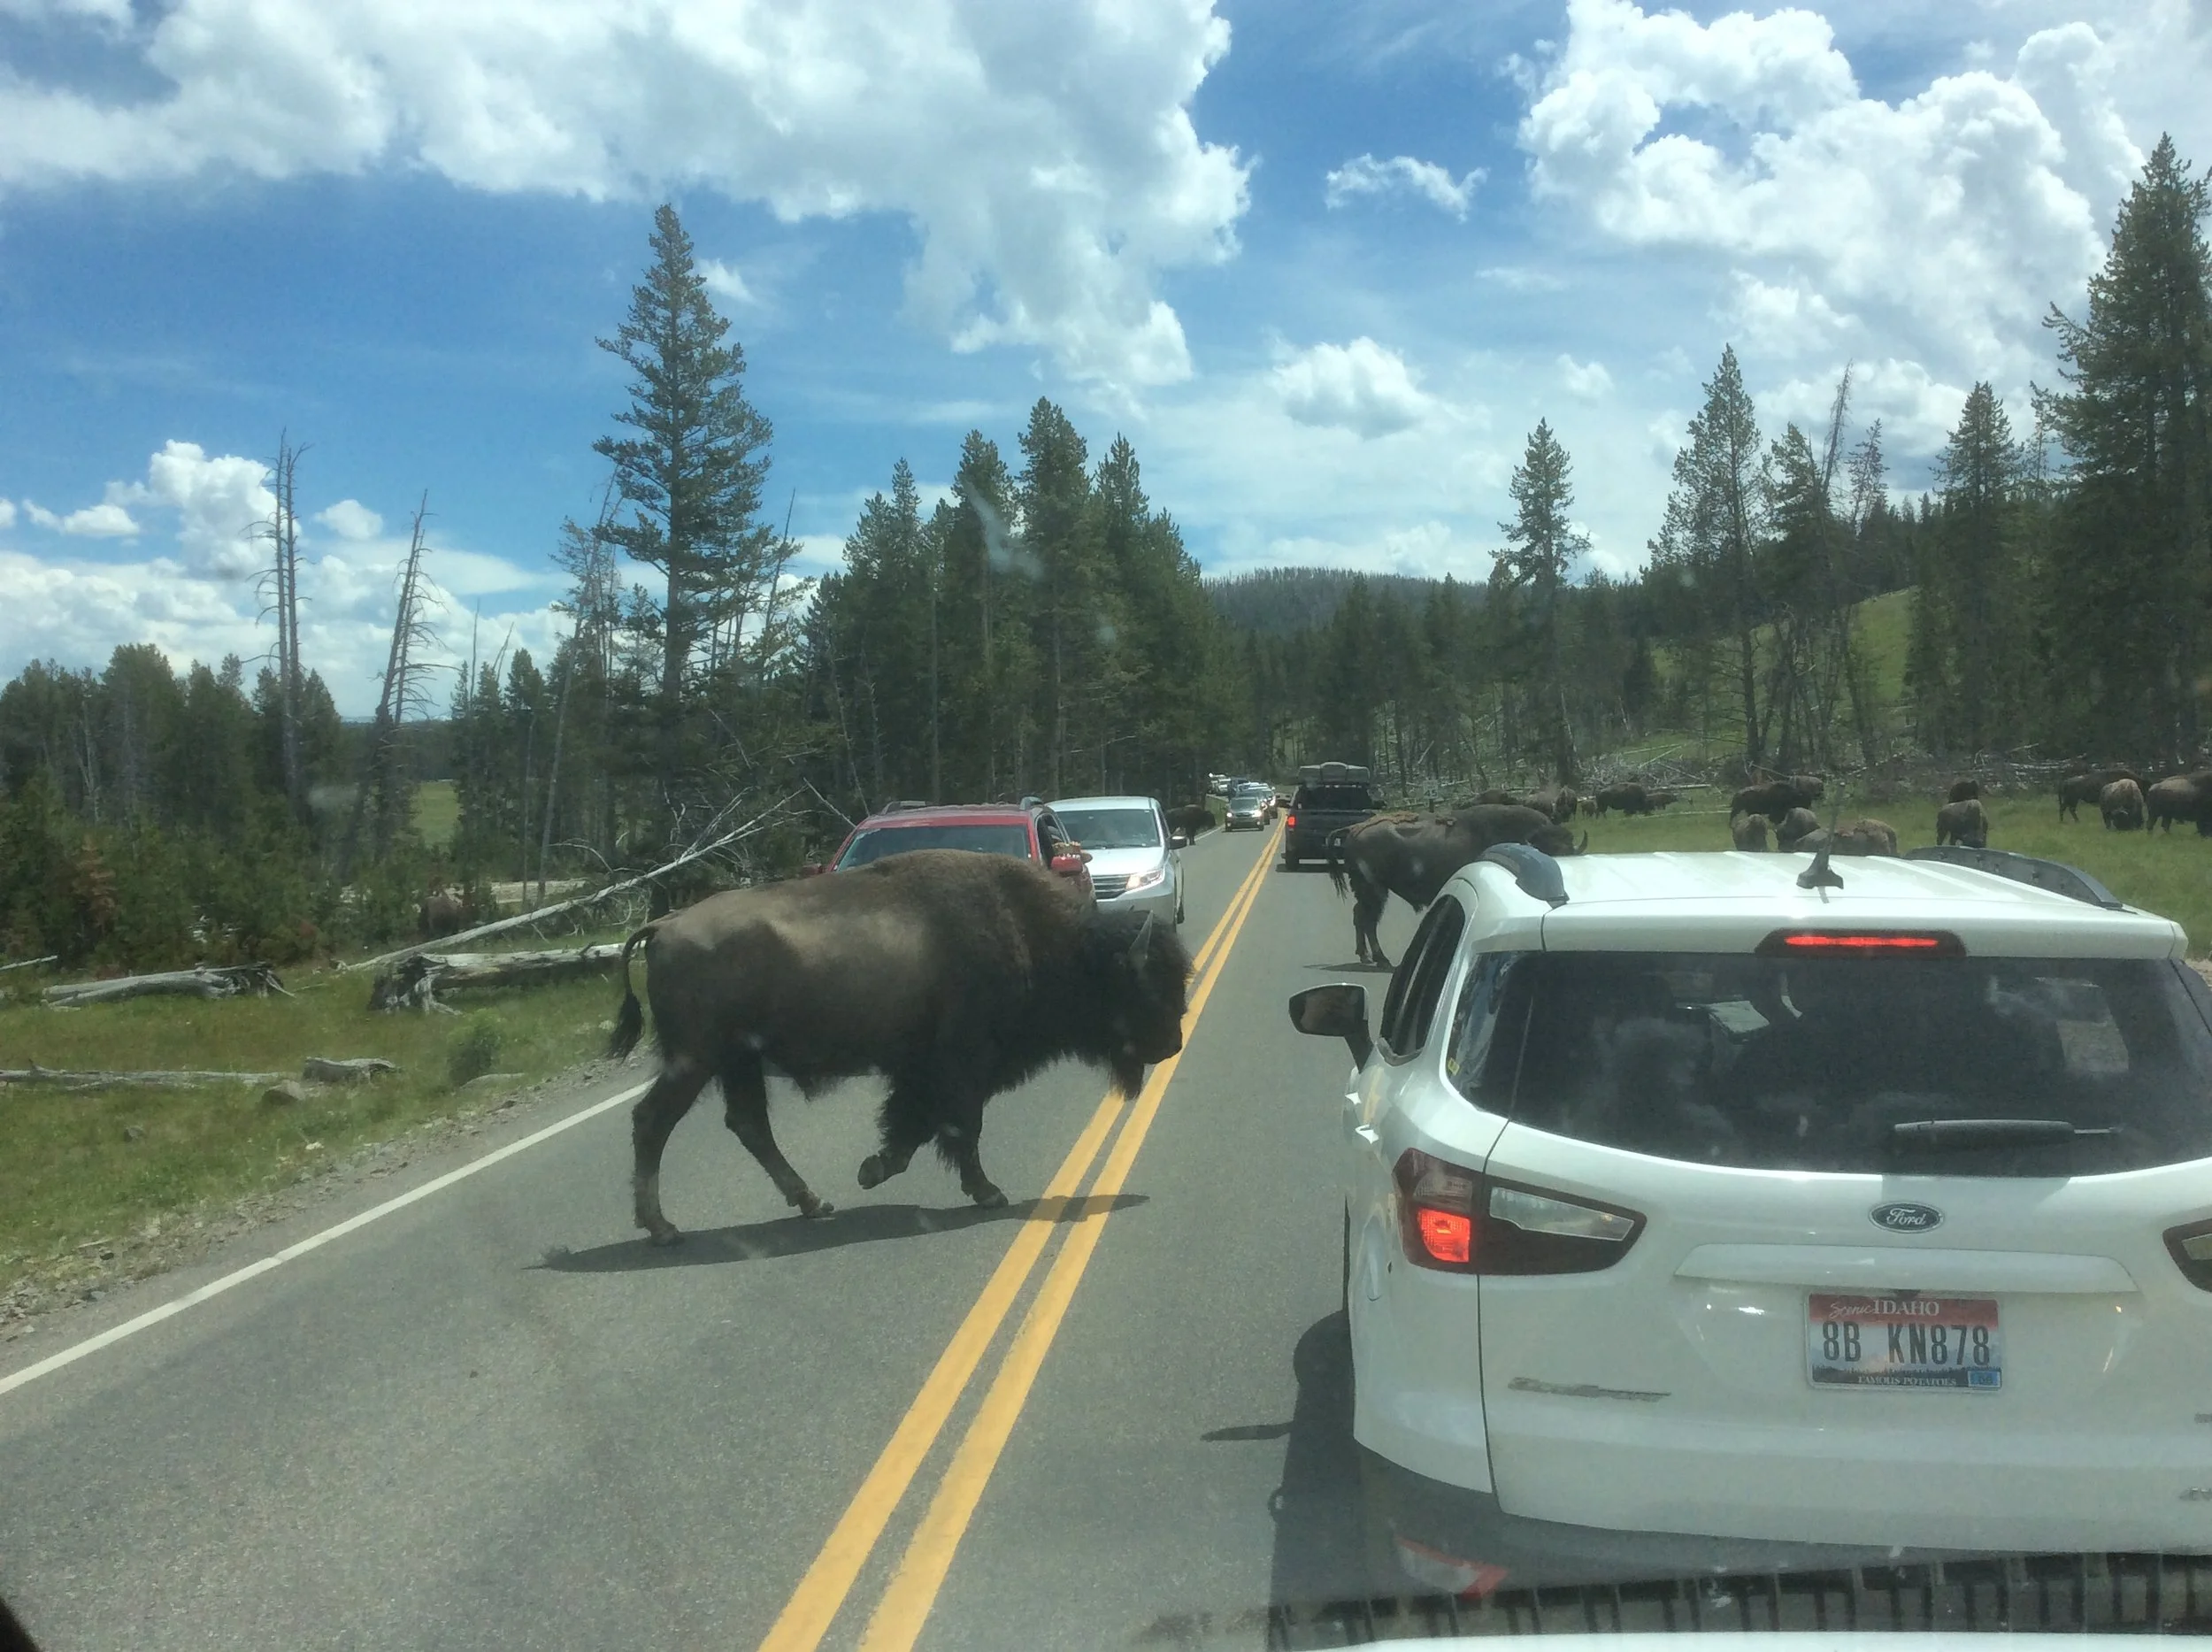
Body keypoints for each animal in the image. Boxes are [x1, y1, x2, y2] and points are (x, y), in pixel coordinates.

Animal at [607, 851, 1191, 1243]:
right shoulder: (963, 1066)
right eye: (1145, 986)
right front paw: (987, 1192)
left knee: (748, 1124)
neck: (1031, 934)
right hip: (696, 1060)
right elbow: (960, 1127)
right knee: (653, 1122)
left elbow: (916, 1124)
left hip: (738, 1061)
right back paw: (663, 1228)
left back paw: (814, 1203)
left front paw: (874, 1168)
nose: (1171, 1044)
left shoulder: (923, 1069)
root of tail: (663, 925)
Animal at [1329, 806, 1581, 969]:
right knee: (1368, 919)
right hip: (1374, 889)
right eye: (1550, 852)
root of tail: (1354, 829)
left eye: (1570, 850)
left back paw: (1367, 956)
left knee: (1361, 917)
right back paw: (1380, 959)